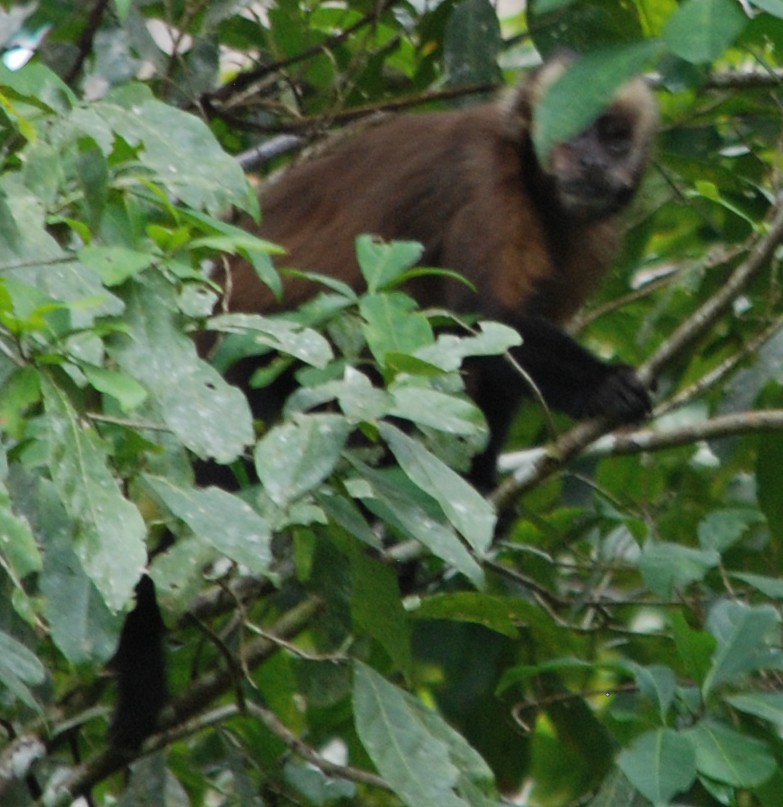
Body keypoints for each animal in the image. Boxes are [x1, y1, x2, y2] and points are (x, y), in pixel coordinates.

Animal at [211, 56, 660, 490]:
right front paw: (604, 384)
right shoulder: (487, 175)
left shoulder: (594, 236)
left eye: (615, 140)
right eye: (576, 129)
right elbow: (484, 319)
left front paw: (480, 480)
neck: (536, 187)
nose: (593, 162)